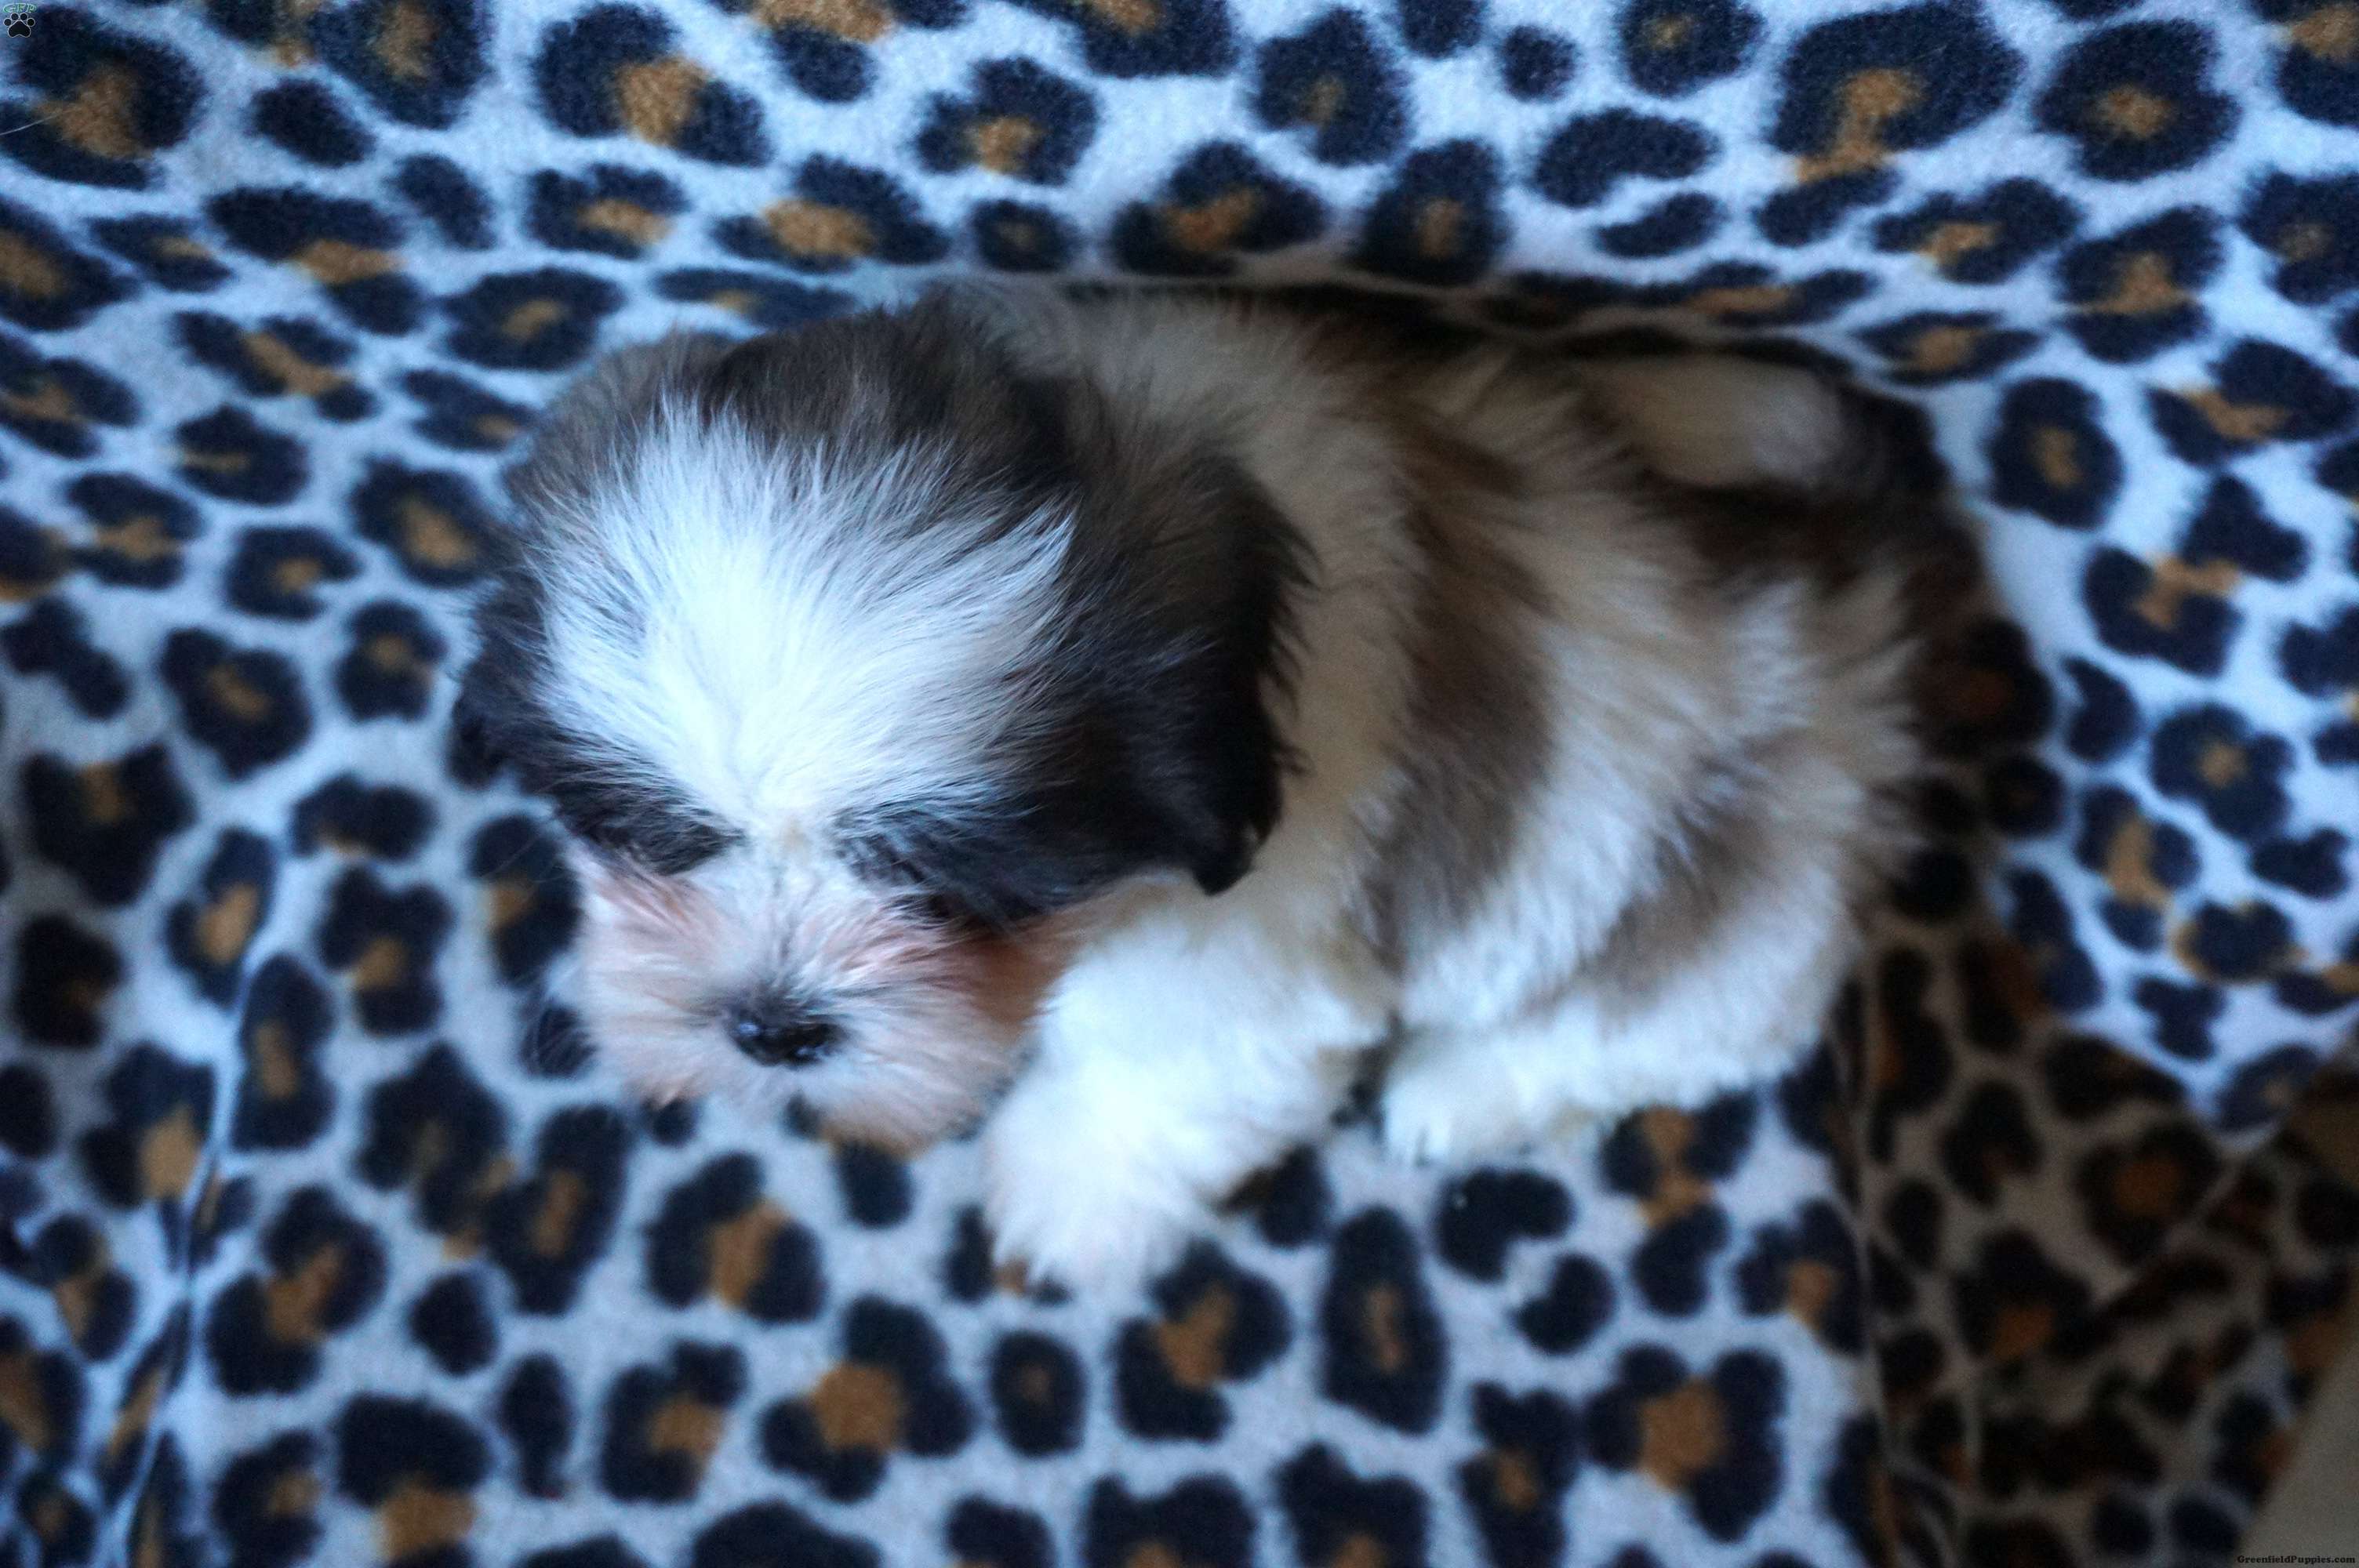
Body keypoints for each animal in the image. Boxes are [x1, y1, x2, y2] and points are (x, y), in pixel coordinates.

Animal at [463, 286, 1953, 1288]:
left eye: (942, 883)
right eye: (658, 837)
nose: (772, 1026)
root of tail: (1845, 613)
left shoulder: (1243, 950)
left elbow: (1159, 1079)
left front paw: (1064, 1192)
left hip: (1737, 924)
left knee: (1647, 1031)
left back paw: (1468, 1092)